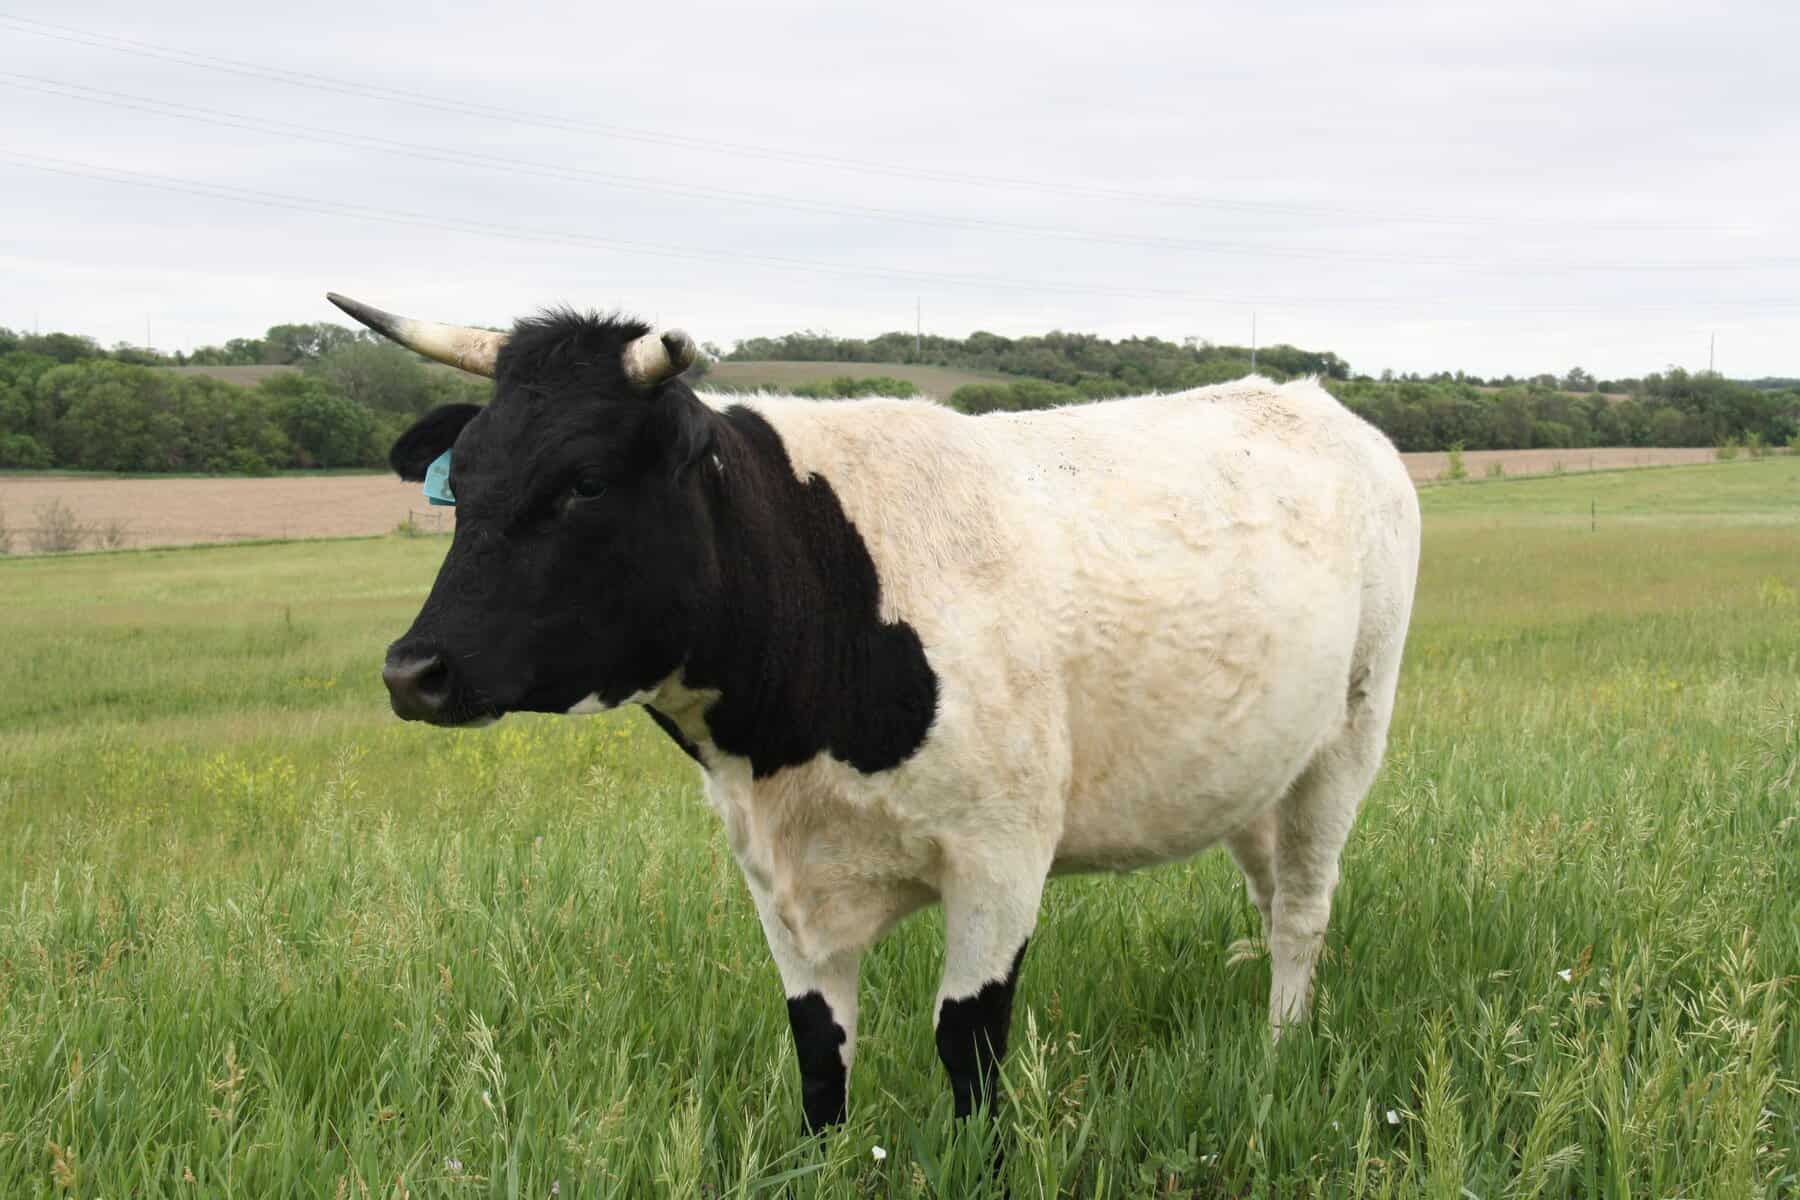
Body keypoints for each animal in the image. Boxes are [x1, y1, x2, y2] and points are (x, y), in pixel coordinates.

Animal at [328, 291, 1420, 1132]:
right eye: (460, 486)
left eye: (584, 483)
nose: (413, 672)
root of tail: (1312, 400)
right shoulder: (779, 879)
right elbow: (819, 1056)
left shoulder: (1000, 857)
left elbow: (967, 1047)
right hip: (1252, 765)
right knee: (1270, 891)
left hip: (1349, 740)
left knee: (1303, 911)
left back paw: (1279, 1053)